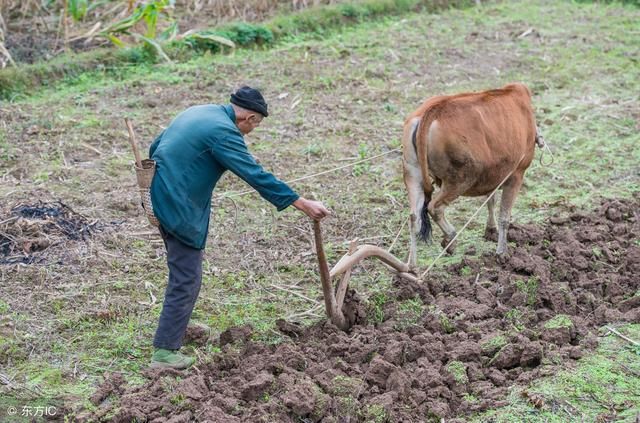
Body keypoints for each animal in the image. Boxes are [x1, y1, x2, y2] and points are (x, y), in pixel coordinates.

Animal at [404, 82, 540, 264]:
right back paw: (451, 239)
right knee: (435, 208)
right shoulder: (516, 174)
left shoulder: (494, 173)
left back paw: (412, 266)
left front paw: (491, 231)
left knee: (414, 217)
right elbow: (504, 216)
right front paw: (502, 253)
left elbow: (490, 201)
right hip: (459, 180)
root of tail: (433, 111)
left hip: (412, 174)